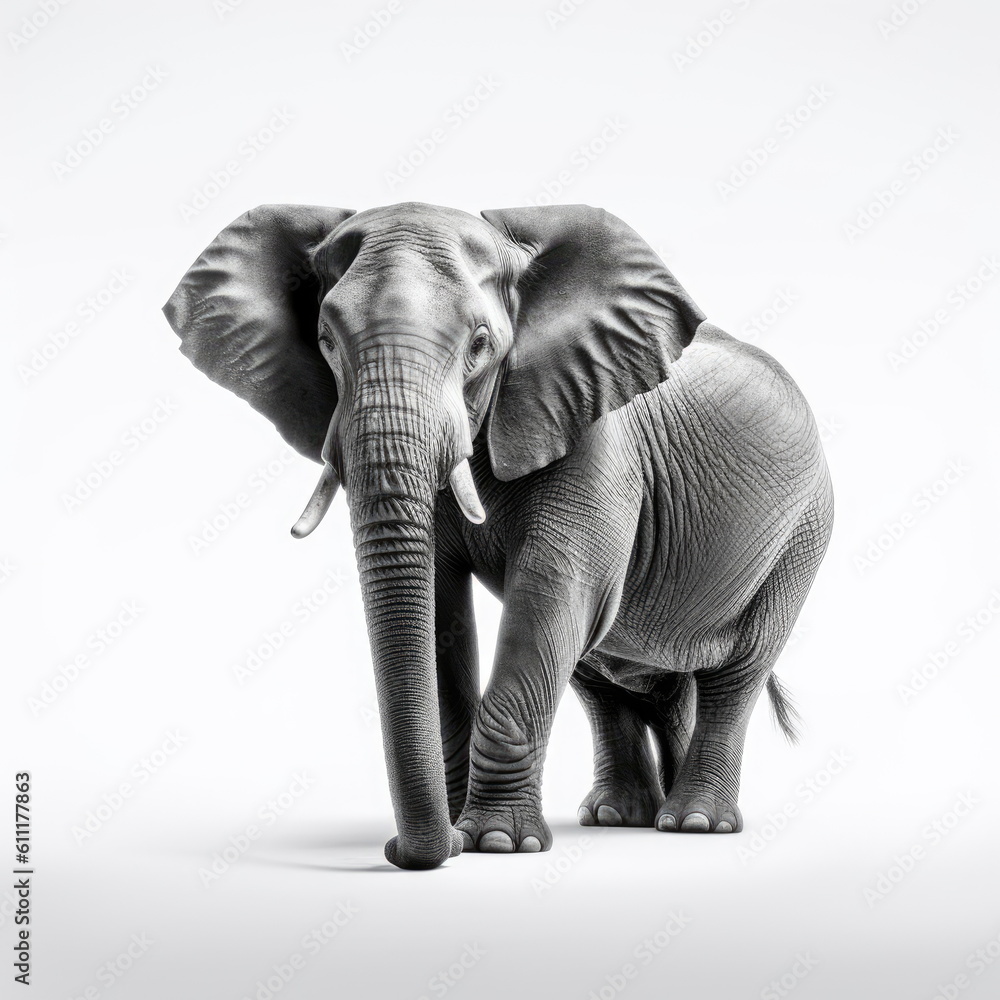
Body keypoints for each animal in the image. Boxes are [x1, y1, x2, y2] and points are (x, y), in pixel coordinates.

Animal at [163, 201, 833, 870]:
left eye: (481, 344)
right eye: (326, 340)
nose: (401, 852)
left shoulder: (593, 435)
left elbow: (553, 593)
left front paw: (496, 843)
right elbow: (439, 607)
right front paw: (462, 835)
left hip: (803, 534)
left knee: (737, 669)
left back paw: (694, 823)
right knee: (609, 674)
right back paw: (623, 818)